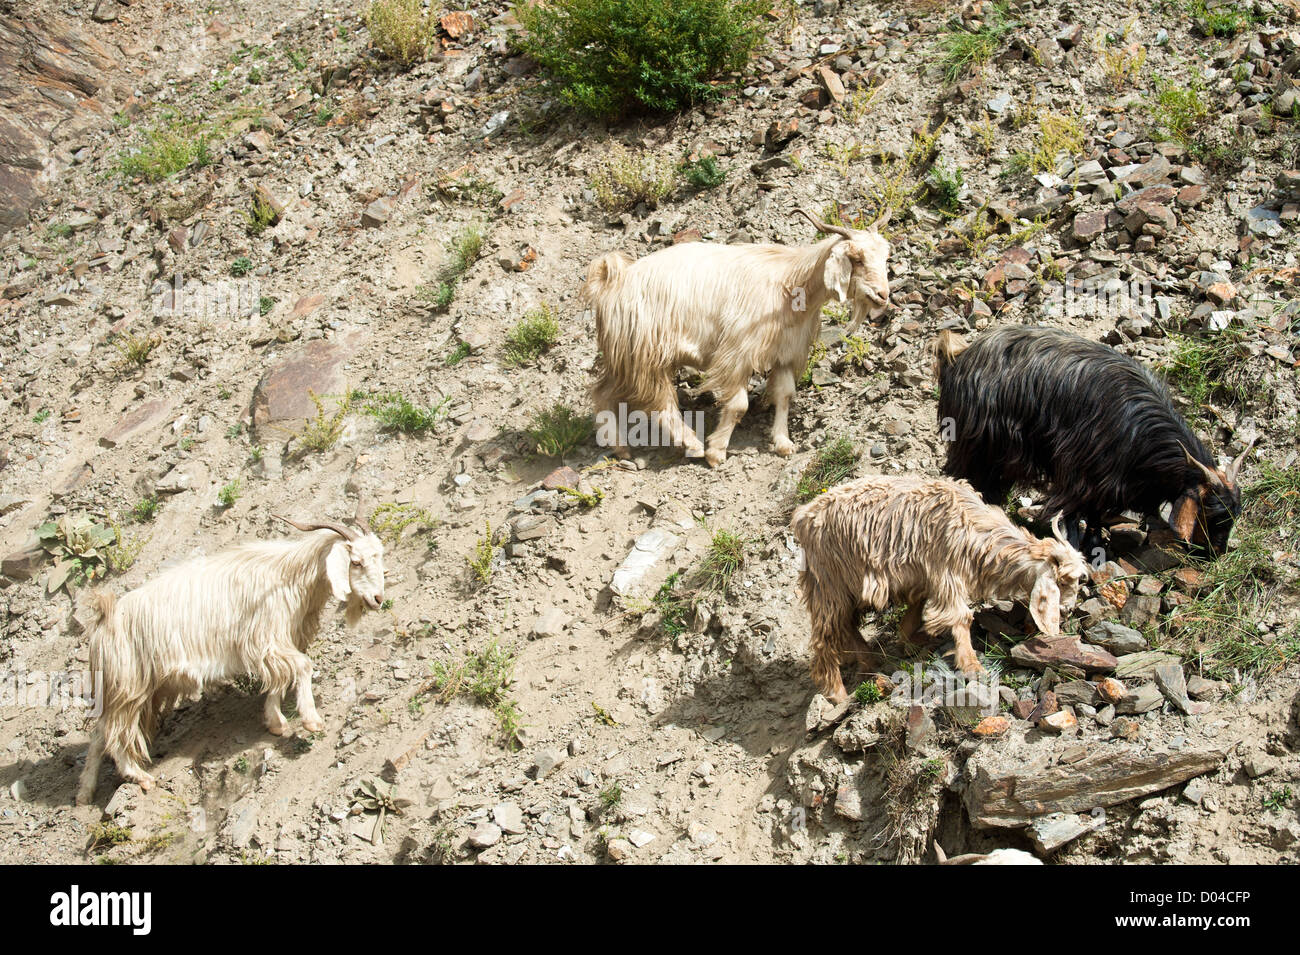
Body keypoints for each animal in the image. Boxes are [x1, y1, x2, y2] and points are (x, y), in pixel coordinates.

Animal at [76, 511, 382, 805]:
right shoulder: (265, 641)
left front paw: (275, 723)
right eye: (355, 562)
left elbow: (279, 679)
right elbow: (302, 666)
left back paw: (84, 793)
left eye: (378, 556)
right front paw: (311, 720)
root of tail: (104, 620)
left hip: (130, 688)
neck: (288, 574)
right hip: (128, 686)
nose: (378, 599)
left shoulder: (273, 644)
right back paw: (140, 777)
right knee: (114, 734)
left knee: (99, 734)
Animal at [585, 207, 889, 467]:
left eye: (885, 257)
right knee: (661, 405)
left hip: (626, 357)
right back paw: (692, 444)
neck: (790, 284)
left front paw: (783, 442)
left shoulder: (785, 354)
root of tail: (612, 282)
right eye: (857, 258)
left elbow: (785, 395)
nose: (883, 295)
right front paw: (717, 451)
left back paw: (620, 447)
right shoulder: (737, 354)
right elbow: (738, 405)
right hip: (645, 355)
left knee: (602, 393)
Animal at [790, 475, 1086, 701]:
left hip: (842, 587)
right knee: (825, 635)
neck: (975, 528)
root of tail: (802, 517)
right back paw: (837, 693)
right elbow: (961, 617)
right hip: (829, 584)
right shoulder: (946, 570)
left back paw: (870, 660)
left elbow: (918, 606)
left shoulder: (924, 575)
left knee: (846, 625)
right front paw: (972, 666)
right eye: (1063, 581)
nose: (1069, 609)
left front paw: (909, 638)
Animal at [935, 327, 1248, 561]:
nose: (1215, 553)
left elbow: (1096, 514)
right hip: (978, 446)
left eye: (1234, 515)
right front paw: (1078, 545)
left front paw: (1095, 541)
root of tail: (961, 355)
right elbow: (1074, 512)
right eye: (1210, 511)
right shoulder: (1081, 473)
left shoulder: (1109, 483)